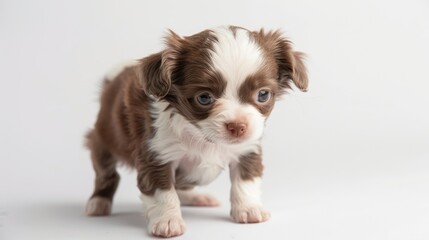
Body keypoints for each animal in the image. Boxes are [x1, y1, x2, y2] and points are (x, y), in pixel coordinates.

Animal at [85, 25, 306, 237]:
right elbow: (163, 192)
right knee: (107, 174)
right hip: (103, 139)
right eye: (204, 98)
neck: (202, 137)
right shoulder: (155, 154)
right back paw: (98, 203)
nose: (237, 126)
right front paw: (167, 221)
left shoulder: (247, 149)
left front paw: (249, 209)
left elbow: (246, 180)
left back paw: (196, 197)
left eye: (263, 95)